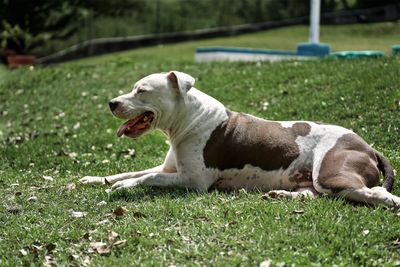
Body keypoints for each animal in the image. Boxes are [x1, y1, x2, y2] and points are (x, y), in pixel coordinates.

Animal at [79, 71, 398, 209]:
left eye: (142, 91)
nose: (111, 103)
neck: (189, 119)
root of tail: (369, 146)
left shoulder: (193, 181)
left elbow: (146, 178)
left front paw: (123, 188)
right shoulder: (169, 168)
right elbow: (129, 171)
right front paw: (94, 179)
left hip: (332, 172)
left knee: (372, 193)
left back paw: (389, 202)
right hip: (315, 180)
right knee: (317, 194)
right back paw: (280, 195)